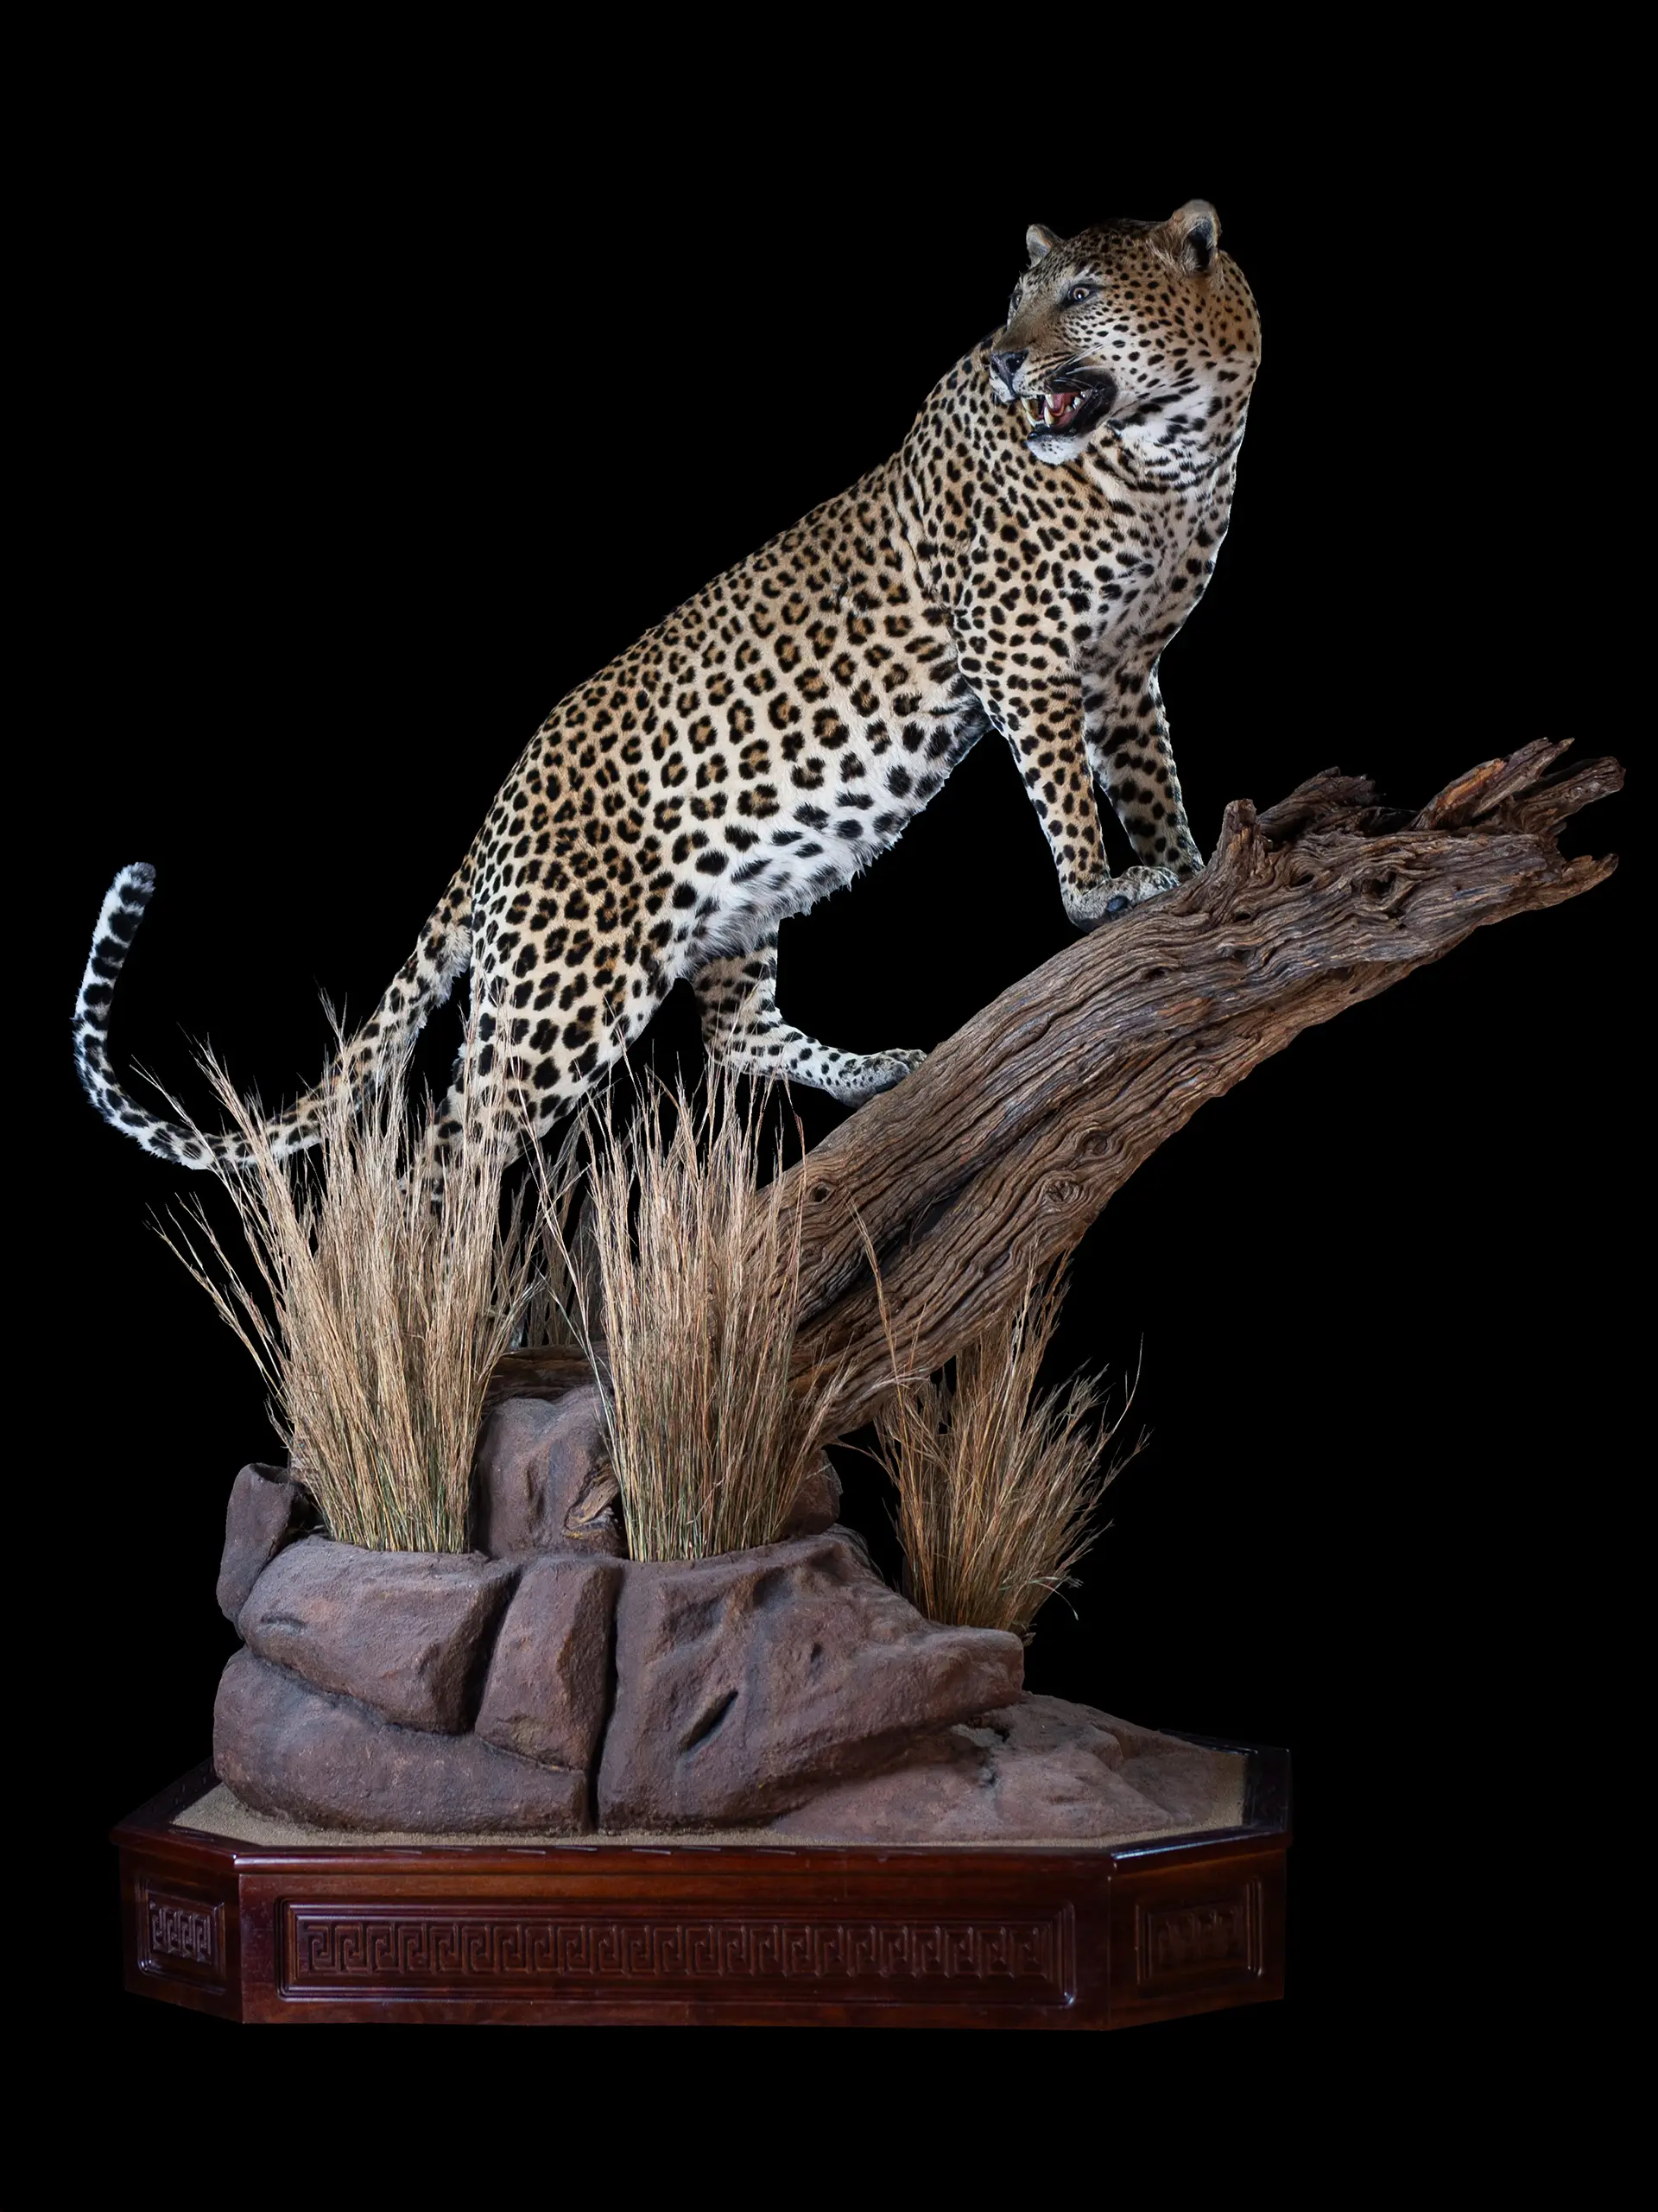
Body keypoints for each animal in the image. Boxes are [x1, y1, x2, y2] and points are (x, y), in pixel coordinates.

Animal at [75, 202, 1261, 1172]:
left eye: (1082, 294)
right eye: (1014, 303)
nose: (1008, 363)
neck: (1173, 454)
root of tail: (498, 815)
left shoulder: (1126, 666)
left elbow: (1147, 776)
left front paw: (1189, 864)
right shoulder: (1019, 648)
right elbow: (1064, 789)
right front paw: (1102, 892)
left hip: (741, 894)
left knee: (732, 1038)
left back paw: (872, 1068)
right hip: (565, 981)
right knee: (448, 1145)